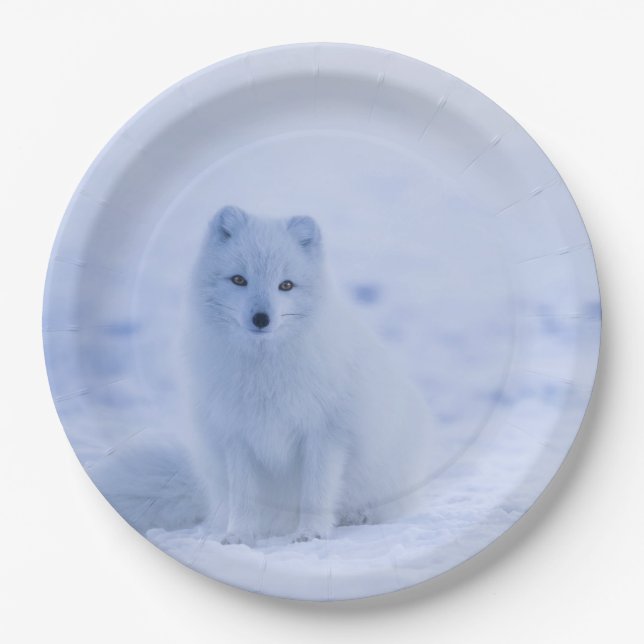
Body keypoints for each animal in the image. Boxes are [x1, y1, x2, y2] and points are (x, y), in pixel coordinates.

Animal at [184, 206, 434, 546]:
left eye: (286, 285)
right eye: (239, 279)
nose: (261, 318)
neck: (266, 371)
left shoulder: (325, 433)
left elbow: (316, 491)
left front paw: (311, 533)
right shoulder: (237, 435)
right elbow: (244, 496)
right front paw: (239, 536)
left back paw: (358, 516)